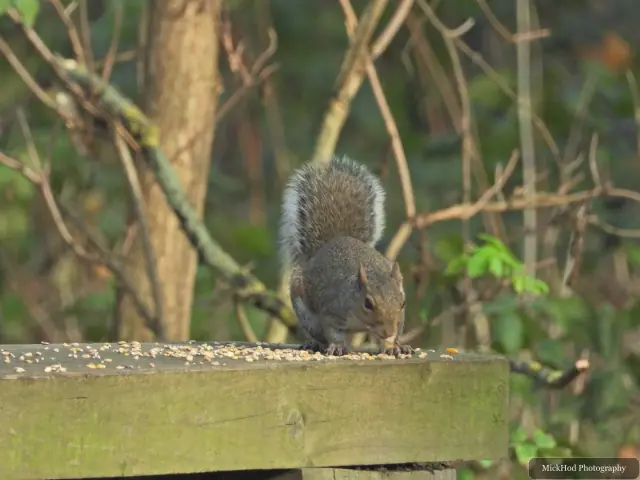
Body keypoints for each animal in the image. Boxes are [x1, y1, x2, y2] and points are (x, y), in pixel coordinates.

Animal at [279, 155, 412, 357]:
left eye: (403, 303)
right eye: (368, 304)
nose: (389, 331)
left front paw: (392, 346)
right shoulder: (331, 311)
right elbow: (333, 333)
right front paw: (337, 346)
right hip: (307, 315)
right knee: (319, 334)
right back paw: (316, 344)